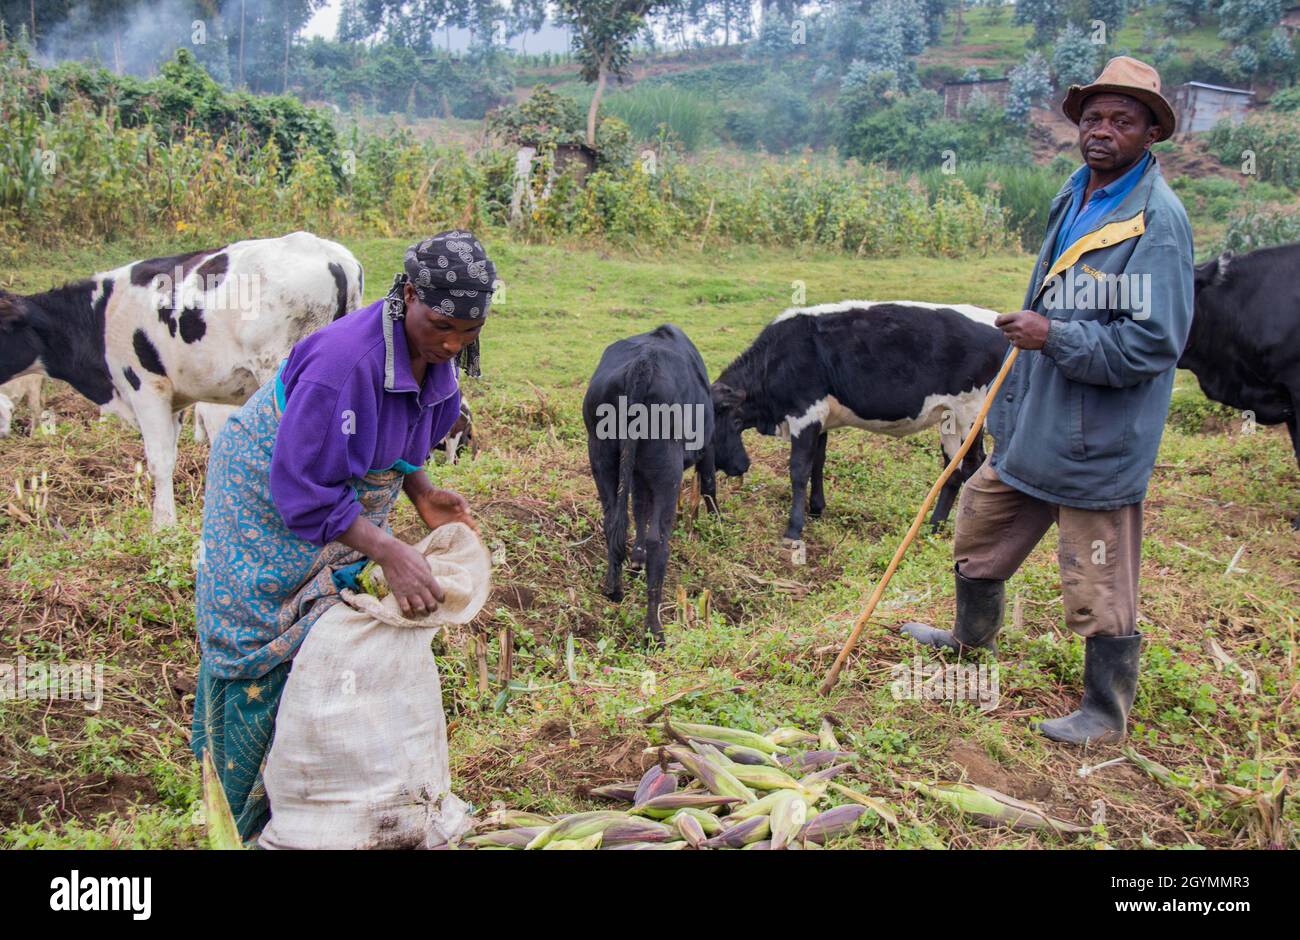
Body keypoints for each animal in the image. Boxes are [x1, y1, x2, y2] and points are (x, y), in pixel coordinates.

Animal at [3, 230, 366, 530]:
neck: (99, 315)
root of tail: (331, 255)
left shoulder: (146, 387)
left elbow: (158, 461)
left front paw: (163, 526)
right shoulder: (175, 399)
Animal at [587, 325, 722, 647]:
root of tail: (643, 364)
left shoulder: (636, 472)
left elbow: (639, 508)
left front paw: (636, 560)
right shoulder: (708, 444)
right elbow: (709, 483)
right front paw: (718, 523)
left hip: (600, 455)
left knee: (614, 521)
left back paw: (613, 588)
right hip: (667, 470)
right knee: (658, 541)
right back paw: (654, 630)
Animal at [712, 301, 1003, 543]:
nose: (741, 466)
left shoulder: (805, 414)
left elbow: (799, 470)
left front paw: (794, 529)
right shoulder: (821, 419)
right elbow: (818, 463)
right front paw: (816, 510)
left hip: (971, 413)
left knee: (972, 465)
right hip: (949, 417)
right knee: (952, 468)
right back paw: (934, 527)